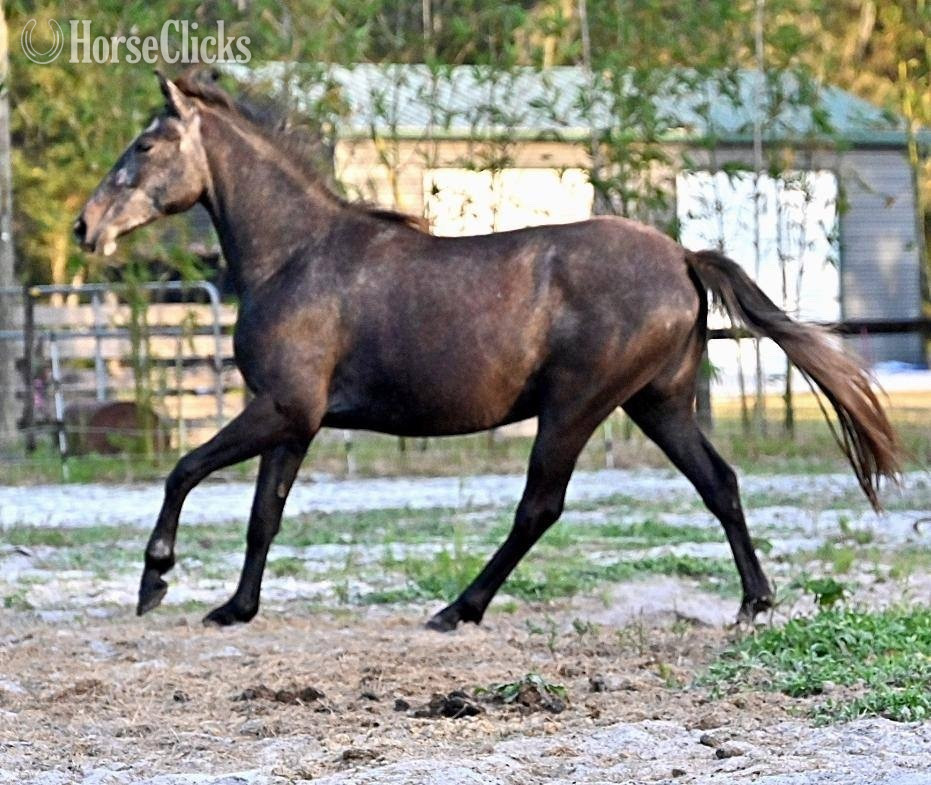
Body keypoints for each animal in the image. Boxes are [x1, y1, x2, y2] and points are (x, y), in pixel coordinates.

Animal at [74, 71, 899, 630]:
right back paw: (753, 603)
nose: (87, 226)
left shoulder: (280, 408)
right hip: (656, 404)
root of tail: (680, 256)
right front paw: (234, 607)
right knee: (718, 483)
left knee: (540, 505)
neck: (295, 255)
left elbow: (184, 470)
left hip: (575, 407)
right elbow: (262, 516)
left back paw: (457, 608)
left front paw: (155, 582)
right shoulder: (296, 420)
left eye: (145, 144)